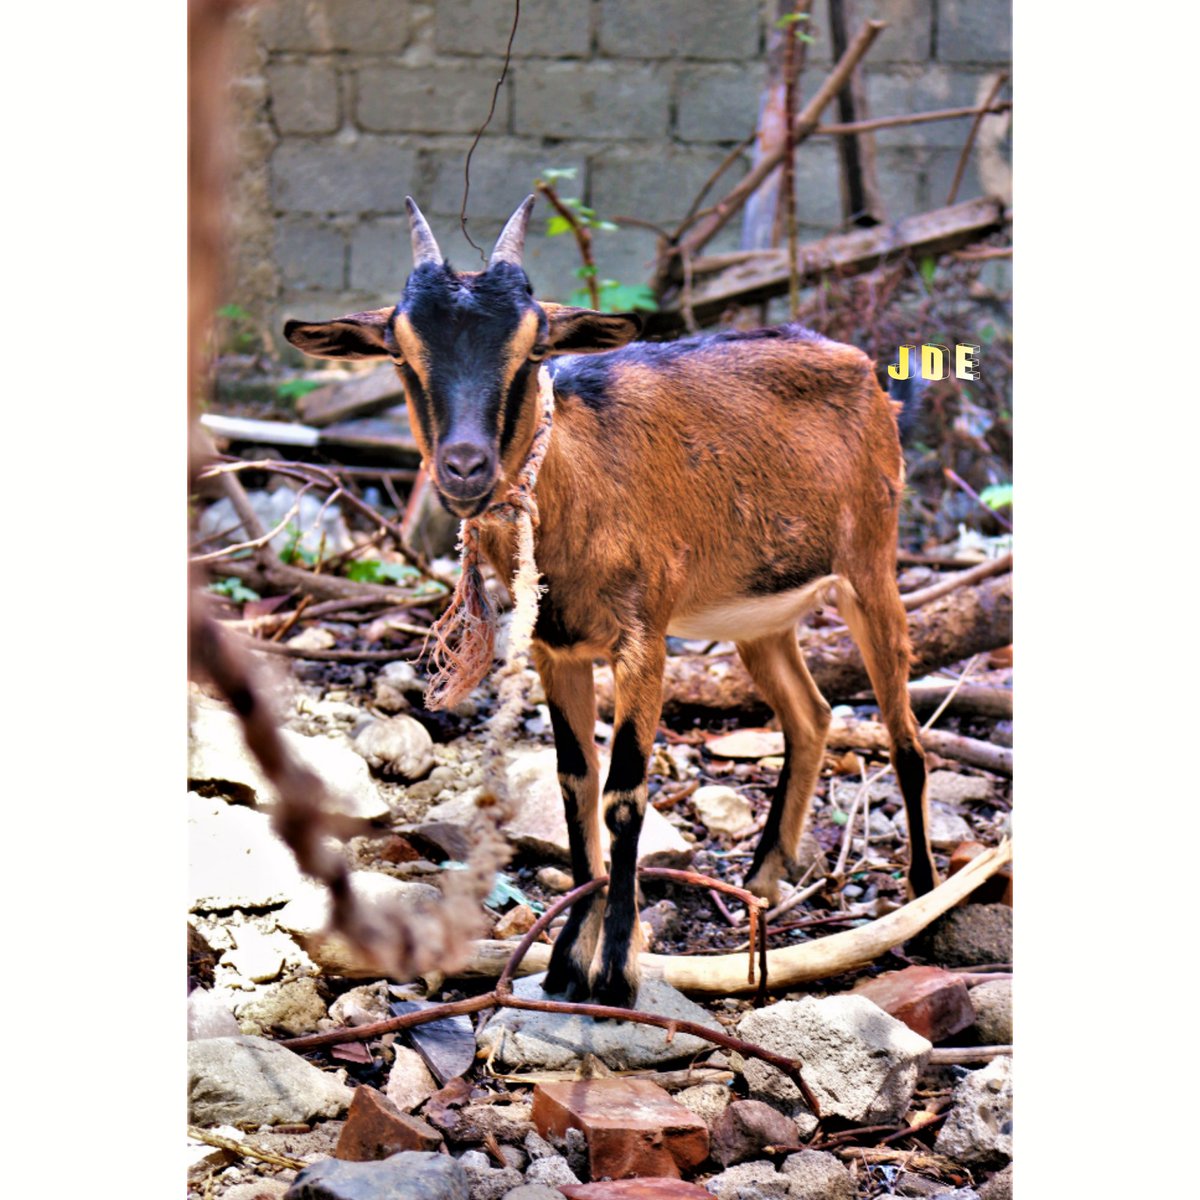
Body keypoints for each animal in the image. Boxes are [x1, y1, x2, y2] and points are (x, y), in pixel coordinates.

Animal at [284, 196, 940, 1007]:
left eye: (534, 349)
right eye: (401, 353)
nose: (465, 466)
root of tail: (864, 369)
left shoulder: (643, 640)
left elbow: (625, 790)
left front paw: (616, 972)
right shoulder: (556, 648)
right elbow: (575, 783)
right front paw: (568, 960)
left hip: (871, 566)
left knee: (905, 733)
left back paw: (923, 899)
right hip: (760, 617)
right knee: (810, 714)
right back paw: (762, 880)